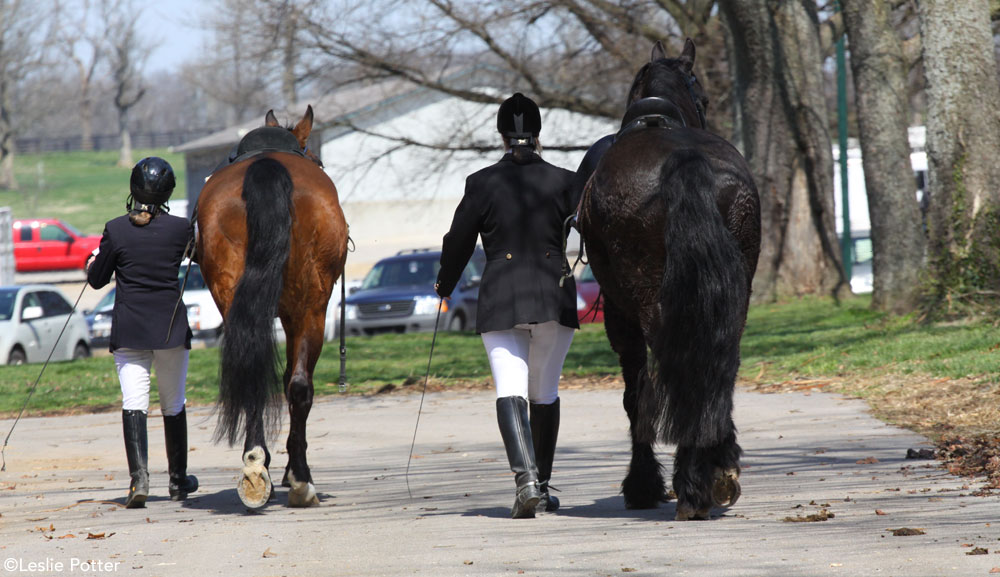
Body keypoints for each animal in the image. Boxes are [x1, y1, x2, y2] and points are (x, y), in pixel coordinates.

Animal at [197, 106, 350, 506]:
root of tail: (267, 166)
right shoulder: (301, 314)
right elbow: (292, 381)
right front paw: (293, 472)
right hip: (311, 307)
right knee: (298, 386)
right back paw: (300, 481)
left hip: (233, 298)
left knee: (252, 372)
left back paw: (254, 466)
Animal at [580, 38, 756, 520]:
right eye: (706, 97)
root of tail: (683, 157)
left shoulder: (618, 314)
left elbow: (636, 394)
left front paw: (642, 485)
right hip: (733, 294)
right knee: (720, 361)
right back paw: (716, 467)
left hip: (645, 301)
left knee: (672, 372)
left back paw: (692, 484)